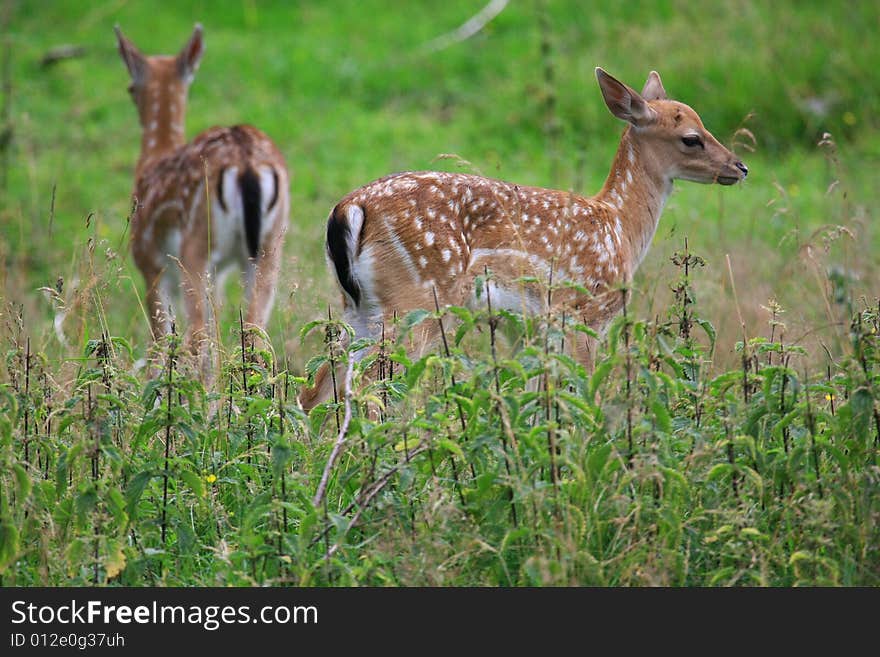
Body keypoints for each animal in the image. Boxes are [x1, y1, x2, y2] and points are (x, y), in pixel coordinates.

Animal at [115, 24, 288, 374]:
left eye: (129, 87)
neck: (153, 159)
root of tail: (246, 162)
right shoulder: (218, 274)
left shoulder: (149, 262)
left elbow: (160, 345)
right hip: (269, 246)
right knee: (256, 339)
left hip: (195, 246)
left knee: (197, 341)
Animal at [300, 69, 744, 412]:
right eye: (691, 137)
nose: (740, 167)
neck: (618, 226)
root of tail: (348, 209)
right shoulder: (583, 313)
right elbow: (587, 394)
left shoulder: (535, 329)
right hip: (416, 301)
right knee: (370, 388)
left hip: (359, 309)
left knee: (317, 389)